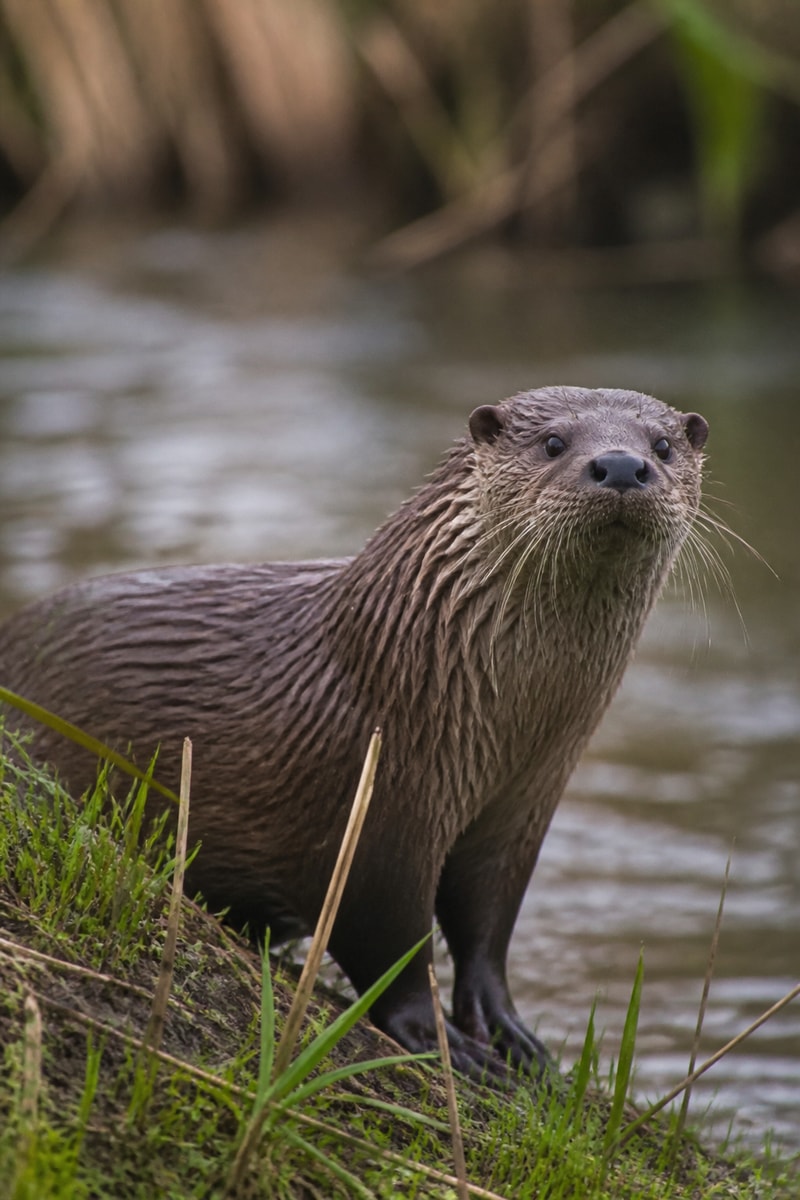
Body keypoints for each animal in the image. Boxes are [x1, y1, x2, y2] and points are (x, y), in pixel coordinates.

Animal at [0, 386, 708, 1078]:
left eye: (663, 446)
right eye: (554, 442)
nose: (621, 465)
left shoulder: (522, 809)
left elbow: (486, 928)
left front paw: (511, 1033)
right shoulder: (373, 812)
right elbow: (388, 942)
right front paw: (442, 1041)